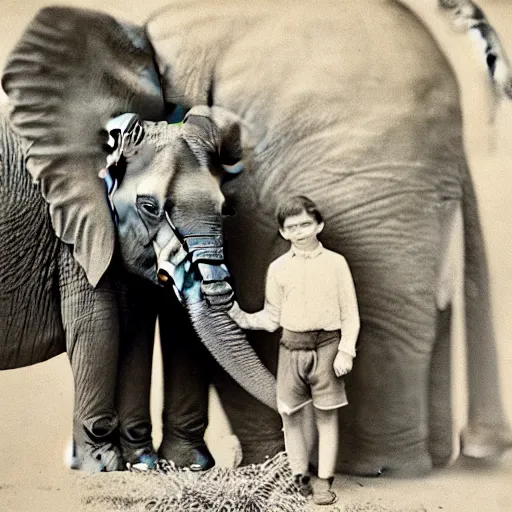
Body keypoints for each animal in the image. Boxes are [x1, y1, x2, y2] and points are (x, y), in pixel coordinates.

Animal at [3, 0, 512, 478]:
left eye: (226, 206)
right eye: (150, 207)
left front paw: (173, 465)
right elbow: (126, 320)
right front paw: (139, 465)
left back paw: (361, 468)